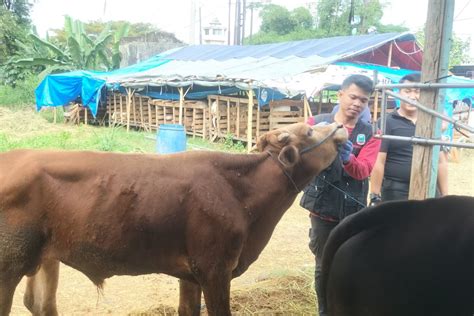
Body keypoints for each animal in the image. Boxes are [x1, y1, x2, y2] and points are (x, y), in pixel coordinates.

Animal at [0, 122, 348, 314]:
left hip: (44, 257)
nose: (341, 126)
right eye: (308, 130)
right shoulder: (215, 268)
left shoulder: (190, 273)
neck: (240, 191)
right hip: (9, 264)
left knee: (39, 304)